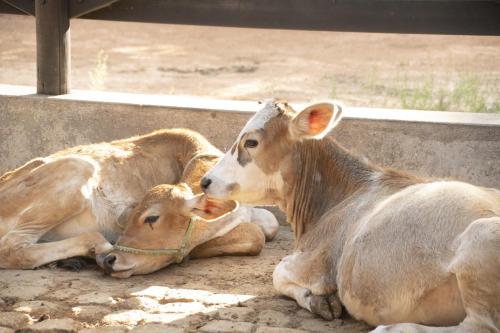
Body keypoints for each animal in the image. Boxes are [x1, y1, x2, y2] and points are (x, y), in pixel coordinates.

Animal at [0, 128, 280, 274]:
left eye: (152, 217)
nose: (112, 261)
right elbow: (256, 234)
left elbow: (269, 225)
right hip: (78, 168)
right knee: (12, 249)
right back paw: (95, 249)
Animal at [202, 100, 500, 332]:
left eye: (251, 142)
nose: (206, 181)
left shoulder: (318, 262)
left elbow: (278, 272)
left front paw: (319, 299)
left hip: (479, 240)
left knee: (479, 327)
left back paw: (391, 329)